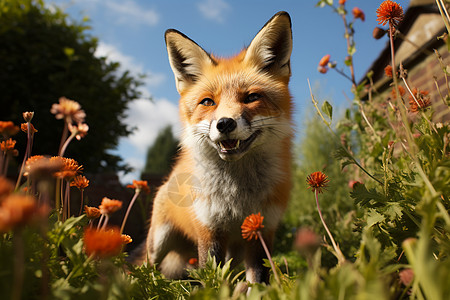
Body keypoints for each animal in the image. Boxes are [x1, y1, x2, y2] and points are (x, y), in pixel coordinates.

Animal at [141, 11, 296, 284]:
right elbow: (213, 278)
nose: (225, 123)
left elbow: (257, 279)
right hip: (158, 243)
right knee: (145, 268)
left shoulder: (261, 229)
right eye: (208, 102)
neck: (237, 196)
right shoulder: (209, 229)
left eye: (251, 97)